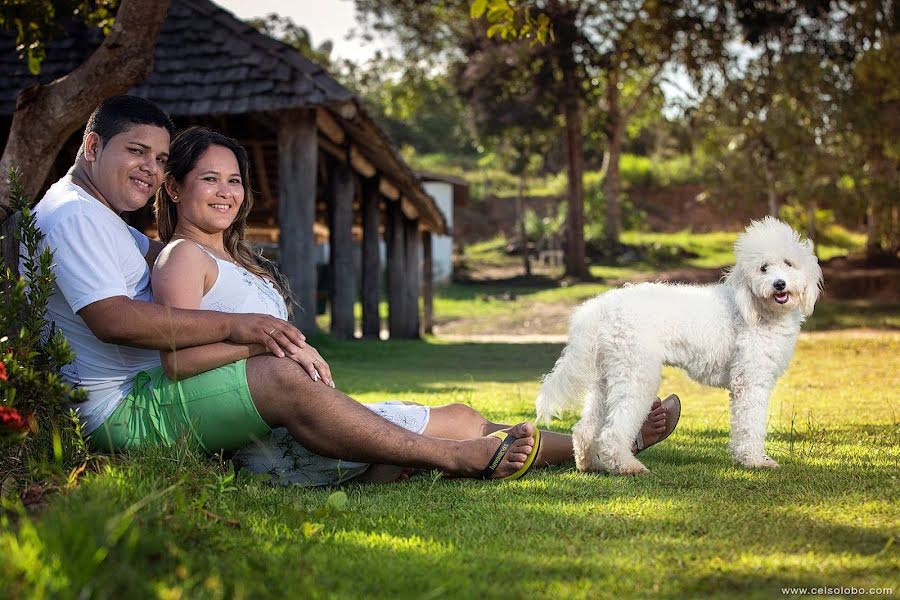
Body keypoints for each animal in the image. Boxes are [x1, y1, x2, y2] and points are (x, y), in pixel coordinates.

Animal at [536, 218, 824, 476]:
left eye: (789, 264)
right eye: (763, 268)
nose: (779, 284)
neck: (755, 308)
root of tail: (600, 308)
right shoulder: (750, 383)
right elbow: (749, 425)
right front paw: (754, 461)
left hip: (606, 378)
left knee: (585, 428)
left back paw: (590, 464)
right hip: (636, 373)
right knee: (613, 432)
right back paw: (627, 466)